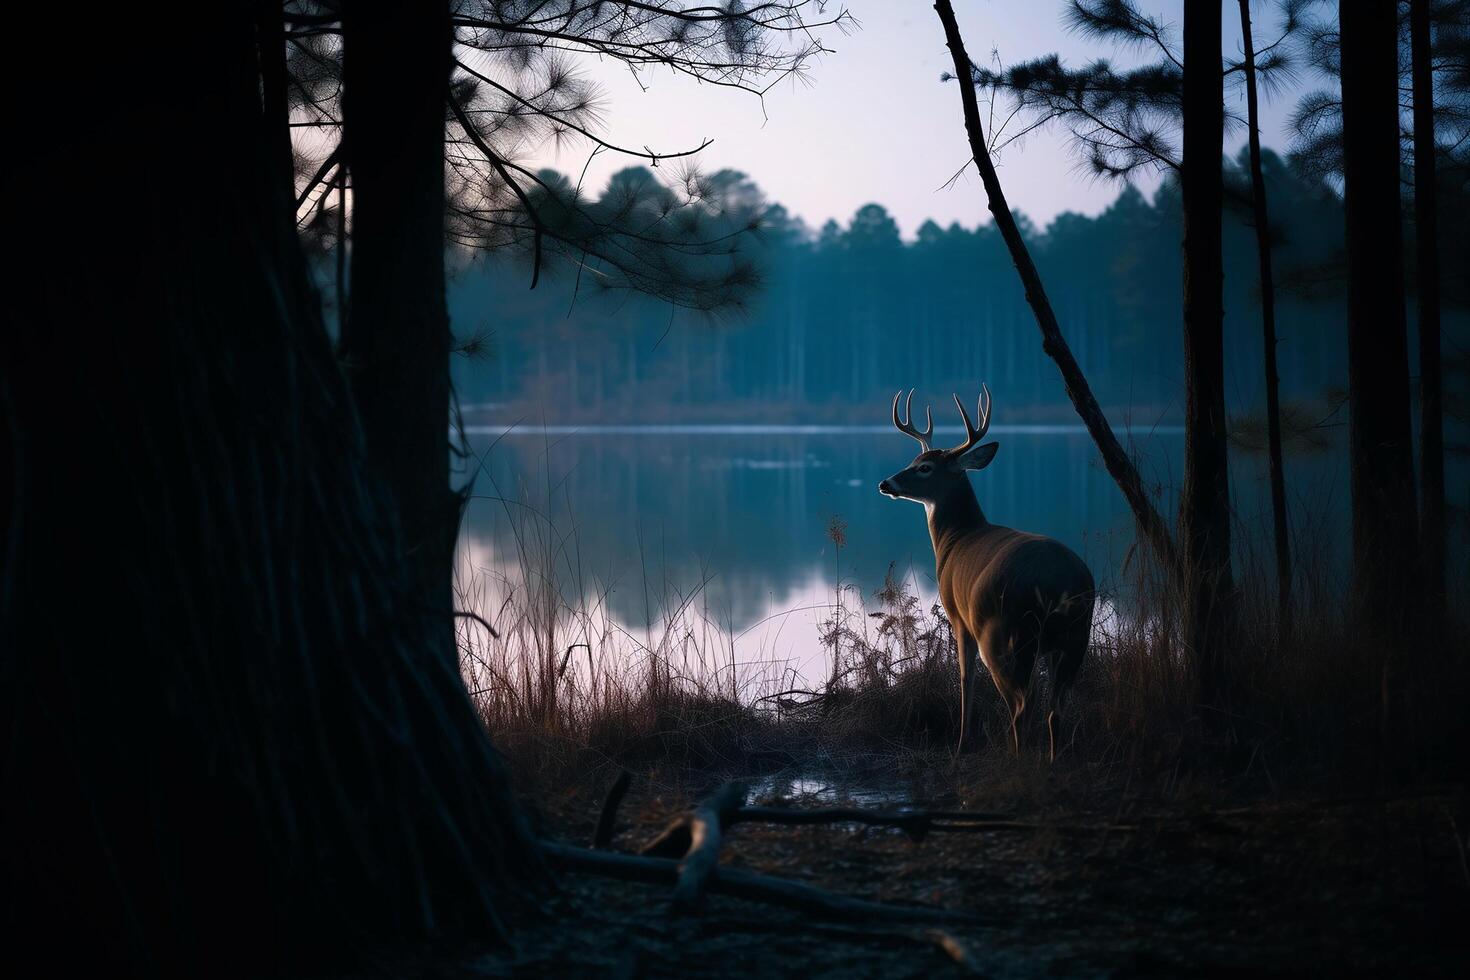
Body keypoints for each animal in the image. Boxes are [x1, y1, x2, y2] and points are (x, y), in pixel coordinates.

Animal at [870, 387, 1093, 764]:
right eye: (915, 461)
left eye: (925, 468)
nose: (886, 483)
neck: (957, 537)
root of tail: (1058, 581)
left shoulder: (958, 616)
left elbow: (965, 679)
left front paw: (961, 746)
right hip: (1075, 636)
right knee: (1055, 707)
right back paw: (1052, 761)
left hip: (1003, 632)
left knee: (1022, 704)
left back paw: (1016, 761)